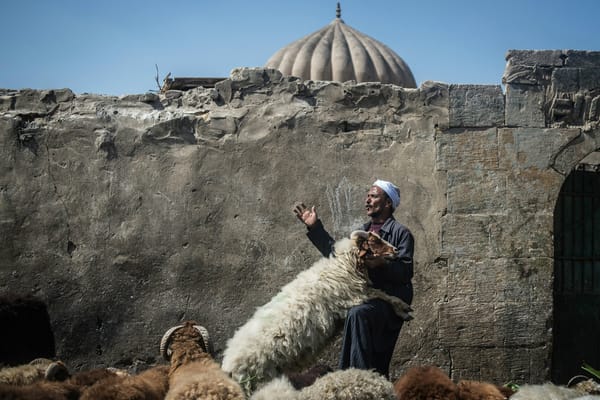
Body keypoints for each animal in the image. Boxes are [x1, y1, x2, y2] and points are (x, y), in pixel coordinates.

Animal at [220, 230, 412, 392]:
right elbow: (384, 295)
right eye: (374, 241)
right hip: (260, 380)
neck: (343, 265)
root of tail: (228, 365)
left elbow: (382, 294)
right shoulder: (354, 295)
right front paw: (403, 308)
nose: (396, 250)